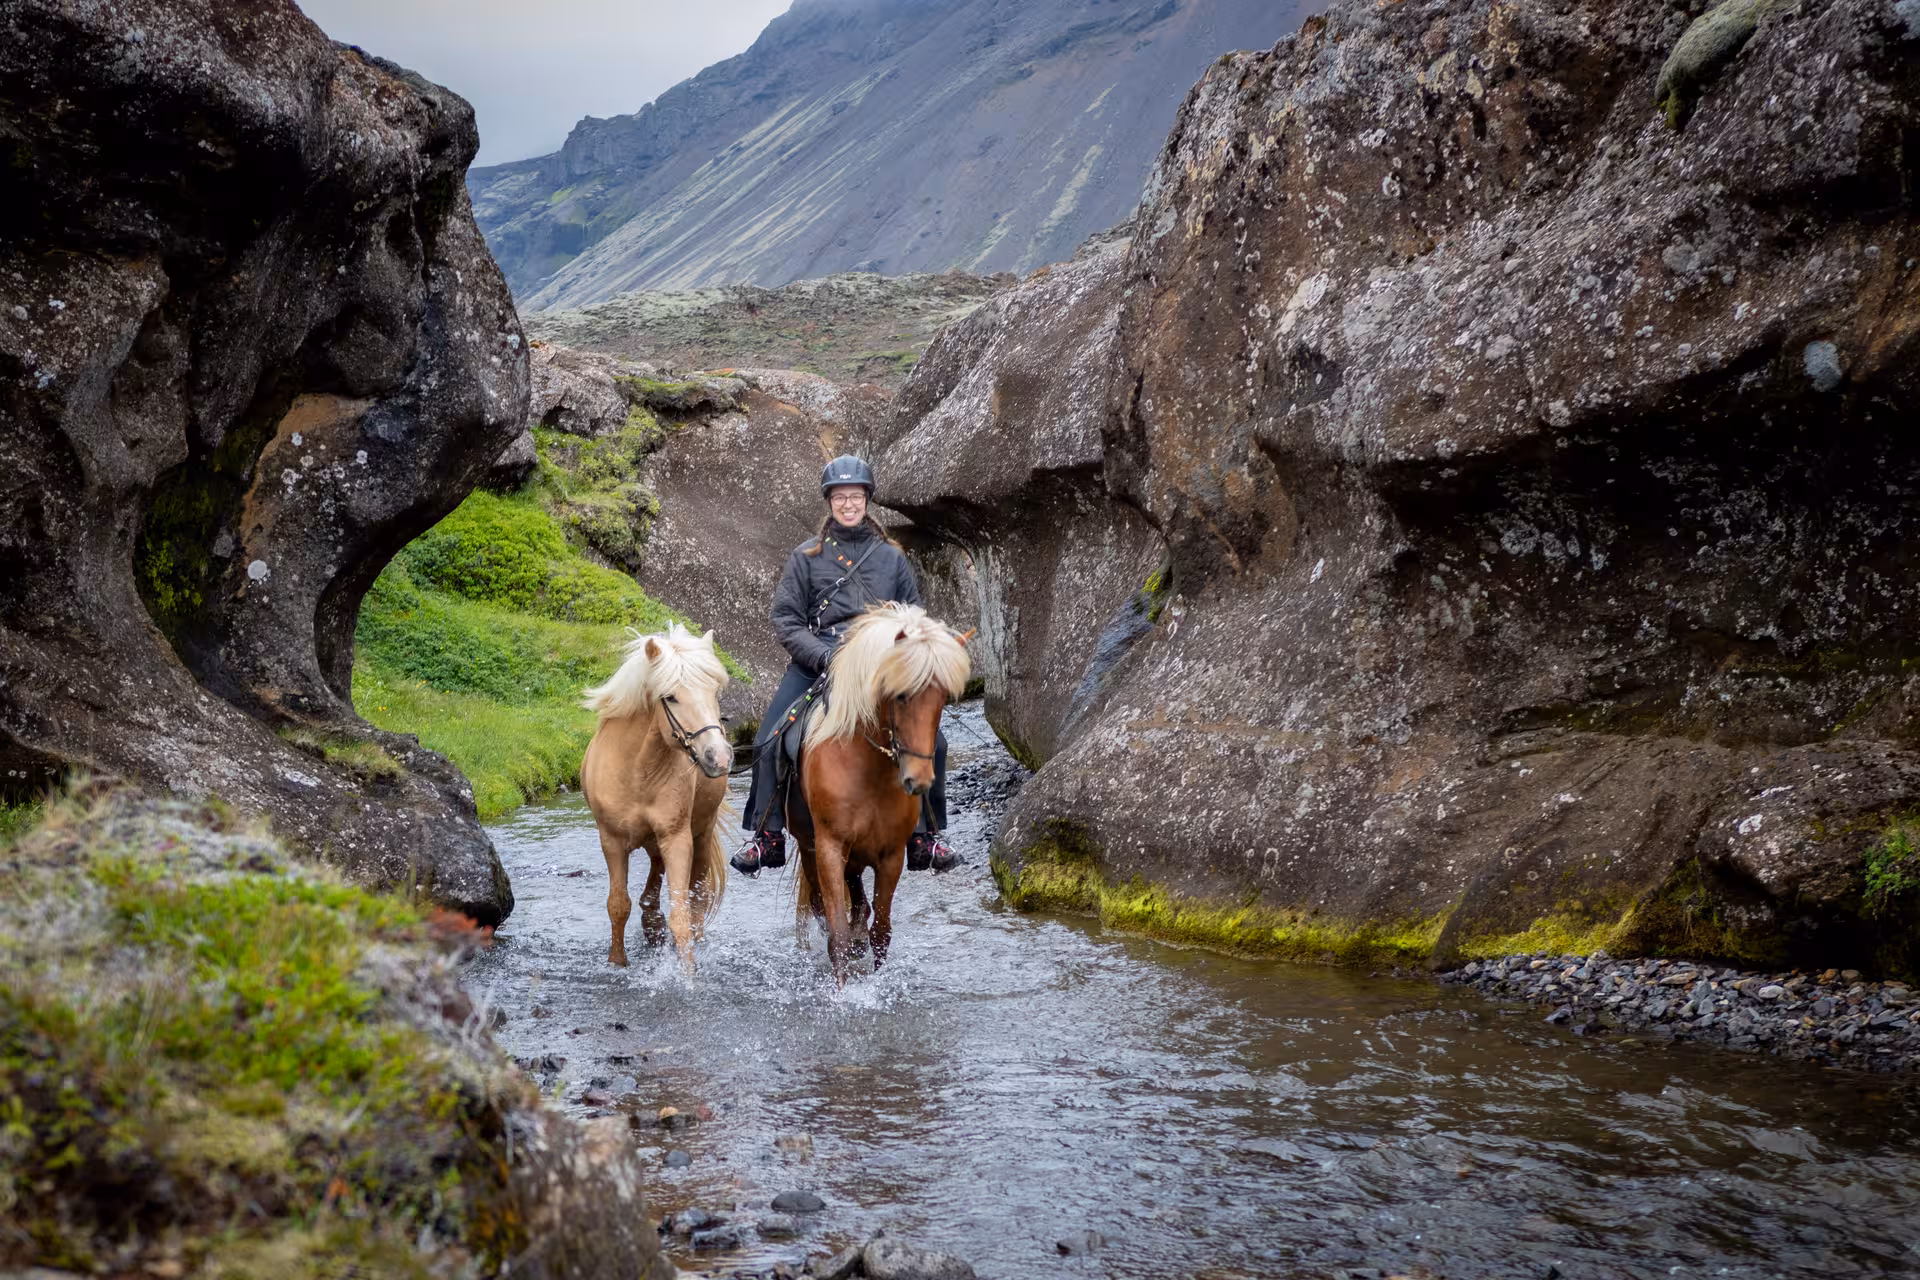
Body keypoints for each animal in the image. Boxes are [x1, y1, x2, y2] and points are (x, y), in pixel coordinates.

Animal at [580, 623, 732, 973]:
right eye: (671, 697)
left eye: (714, 692)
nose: (718, 757)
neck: (638, 771)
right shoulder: (611, 840)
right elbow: (618, 905)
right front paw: (617, 963)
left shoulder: (677, 838)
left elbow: (682, 914)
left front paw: (687, 973)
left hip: (701, 834)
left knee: (698, 896)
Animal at [790, 603, 970, 985]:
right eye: (900, 695)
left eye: (942, 699)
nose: (918, 780)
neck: (867, 769)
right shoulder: (829, 848)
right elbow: (837, 934)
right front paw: (842, 993)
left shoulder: (891, 855)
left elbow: (882, 932)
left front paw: (878, 984)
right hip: (809, 846)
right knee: (823, 906)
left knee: (859, 898)